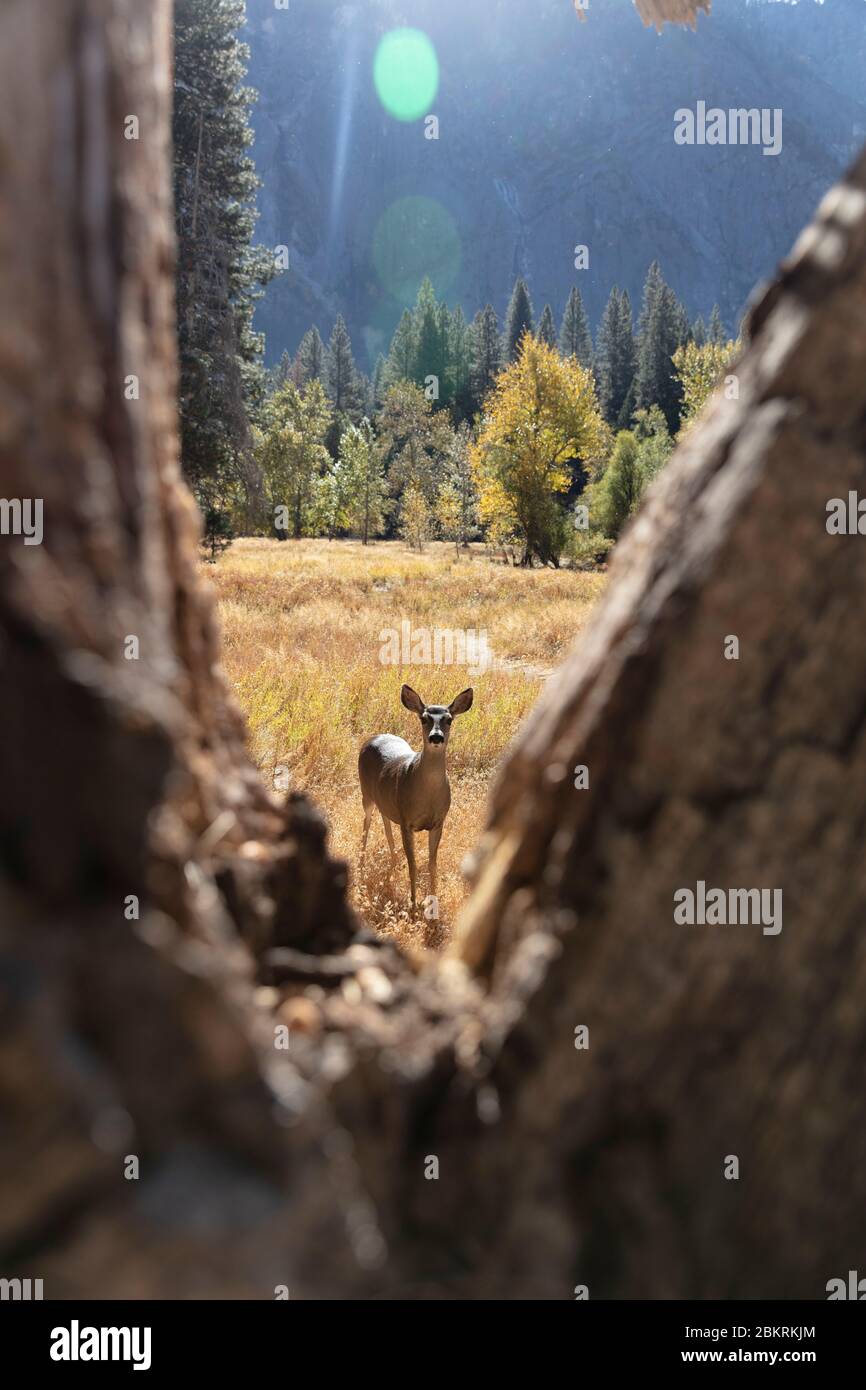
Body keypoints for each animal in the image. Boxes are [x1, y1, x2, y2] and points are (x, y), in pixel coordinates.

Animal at [361, 683, 478, 911]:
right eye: (423, 718)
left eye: (449, 719)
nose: (436, 737)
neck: (428, 796)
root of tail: (373, 738)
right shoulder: (407, 822)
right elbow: (413, 865)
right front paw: (413, 904)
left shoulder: (438, 822)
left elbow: (432, 865)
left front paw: (433, 902)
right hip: (365, 793)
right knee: (366, 824)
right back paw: (361, 864)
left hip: (386, 802)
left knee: (386, 823)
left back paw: (393, 863)